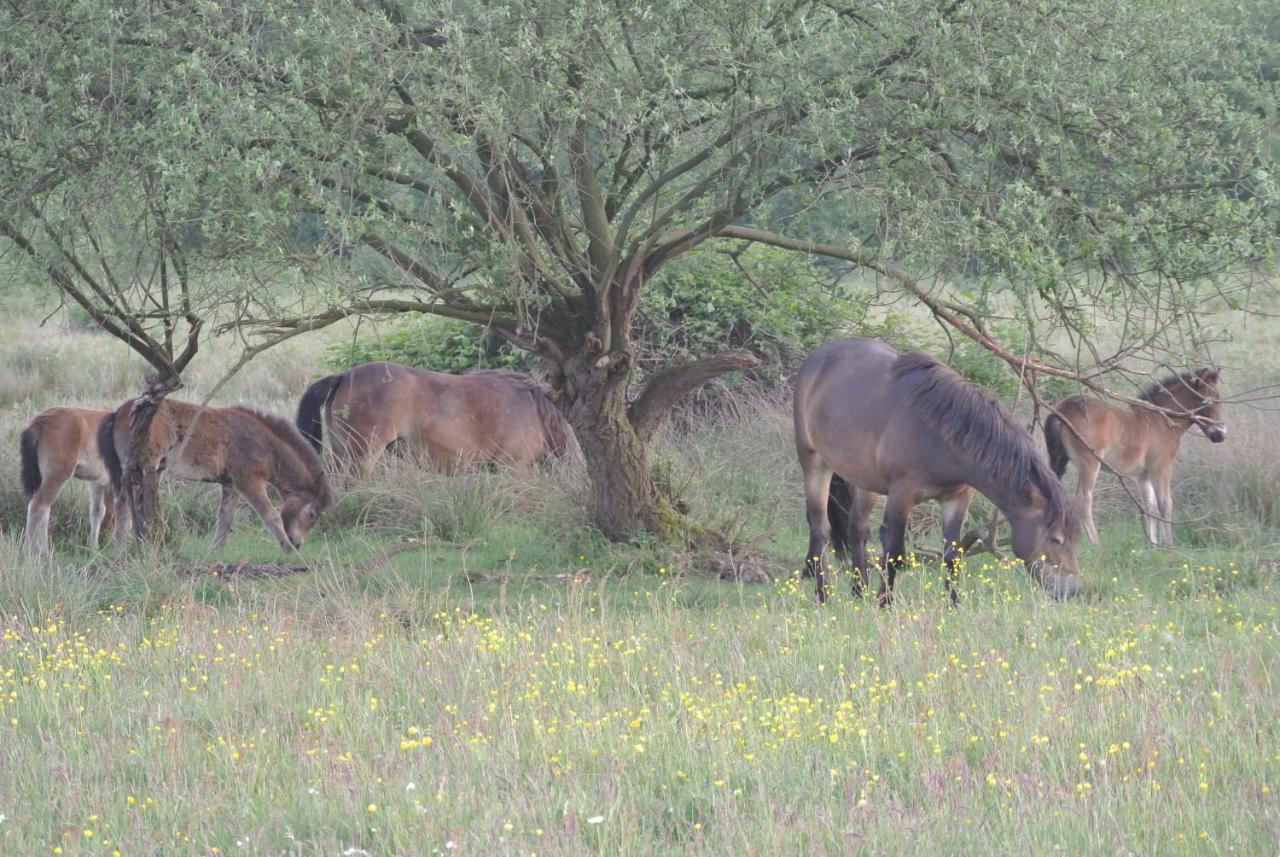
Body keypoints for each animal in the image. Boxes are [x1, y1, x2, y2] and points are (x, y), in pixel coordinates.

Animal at [19, 406, 115, 555]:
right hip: (58, 474)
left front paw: (93, 548)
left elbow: (98, 511)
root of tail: (39, 421)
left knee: (42, 507)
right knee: (39, 506)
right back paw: (35, 552)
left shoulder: (97, 482)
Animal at [99, 401, 332, 555]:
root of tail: (119, 411)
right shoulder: (249, 481)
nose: (298, 542)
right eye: (312, 514)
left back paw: (120, 547)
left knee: (122, 505)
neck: (265, 443)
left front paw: (215, 550)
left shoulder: (230, 484)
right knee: (124, 505)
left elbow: (225, 518)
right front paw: (288, 549)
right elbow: (271, 515)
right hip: (140, 467)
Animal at [788, 340, 1080, 608]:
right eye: (1056, 539)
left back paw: (858, 593)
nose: (1071, 590)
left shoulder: (957, 498)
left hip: (865, 481)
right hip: (814, 463)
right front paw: (885, 603)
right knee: (821, 529)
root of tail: (818, 356)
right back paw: (823, 596)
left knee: (856, 529)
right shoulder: (901, 494)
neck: (938, 432)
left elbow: (952, 554)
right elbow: (894, 550)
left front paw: (953, 605)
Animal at [1044, 365, 1223, 547]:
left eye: (1219, 399)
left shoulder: (1143, 476)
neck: (1162, 420)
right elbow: (1165, 503)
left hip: (1060, 461)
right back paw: (1096, 543)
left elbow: (1150, 506)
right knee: (1083, 499)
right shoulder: (1161, 467)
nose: (1220, 434)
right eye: (1205, 401)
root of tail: (1062, 409)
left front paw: (1153, 544)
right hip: (1089, 463)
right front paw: (1169, 544)